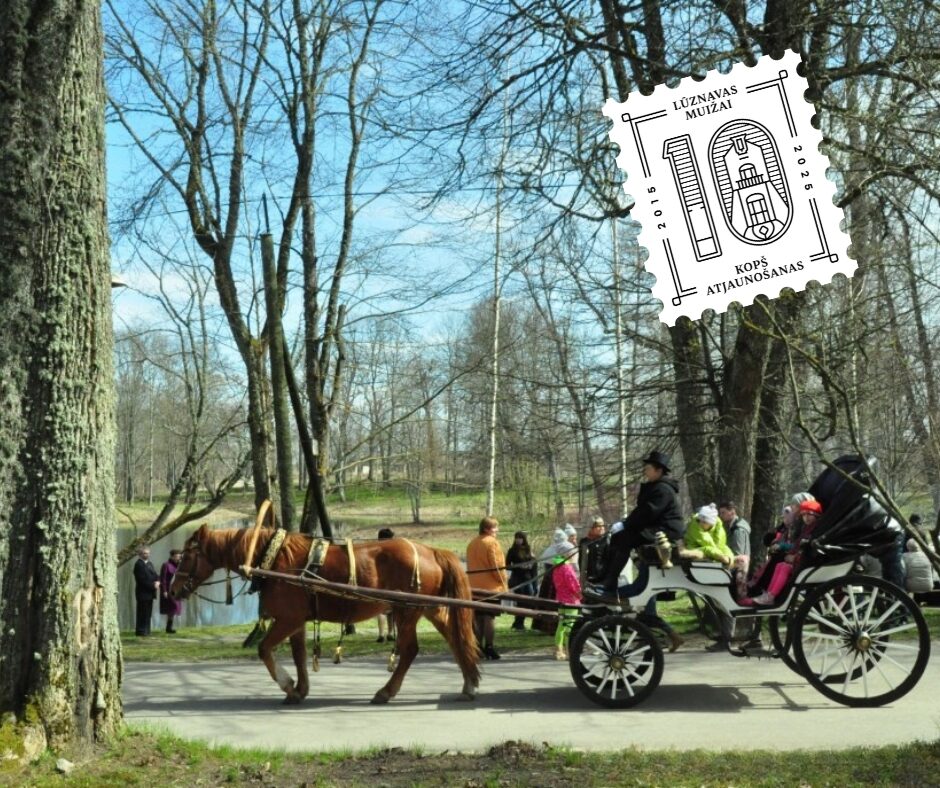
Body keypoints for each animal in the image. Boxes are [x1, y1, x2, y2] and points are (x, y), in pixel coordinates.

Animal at [170, 524, 481, 705]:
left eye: (186, 556)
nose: (172, 590)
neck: (272, 559)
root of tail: (430, 550)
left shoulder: (288, 619)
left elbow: (264, 649)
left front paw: (287, 684)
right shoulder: (296, 621)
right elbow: (298, 655)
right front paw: (300, 689)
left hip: (406, 610)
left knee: (410, 650)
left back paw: (386, 691)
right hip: (428, 607)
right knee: (455, 638)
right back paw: (468, 683)